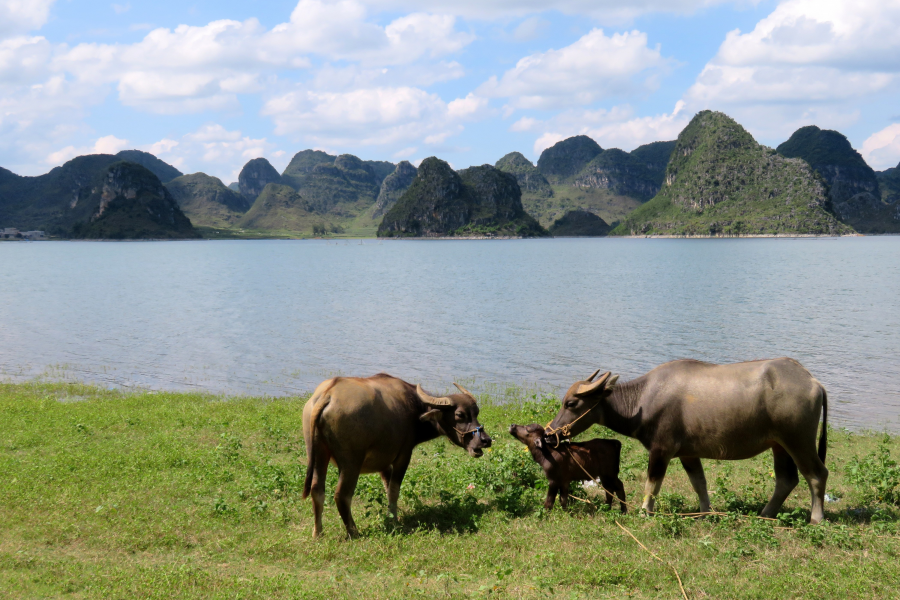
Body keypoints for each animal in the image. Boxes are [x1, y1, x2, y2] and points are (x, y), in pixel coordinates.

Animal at [302, 376, 492, 540]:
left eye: (476, 412)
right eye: (460, 415)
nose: (485, 440)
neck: (413, 408)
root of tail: (327, 395)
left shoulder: (384, 463)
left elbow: (387, 488)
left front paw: (392, 514)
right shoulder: (403, 455)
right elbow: (394, 489)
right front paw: (393, 519)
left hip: (319, 453)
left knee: (317, 490)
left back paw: (318, 532)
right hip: (351, 463)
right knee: (342, 495)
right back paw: (354, 532)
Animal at [540, 358, 828, 524]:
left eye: (571, 403)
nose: (550, 433)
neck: (643, 399)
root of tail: (813, 381)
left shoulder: (661, 450)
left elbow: (652, 484)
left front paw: (644, 512)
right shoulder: (689, 454)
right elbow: (699, 483)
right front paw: (705, 513)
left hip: (798, 440)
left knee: (817, 474)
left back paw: (816, 518)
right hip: (779, 445)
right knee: (786, 480)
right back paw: (766, 514)